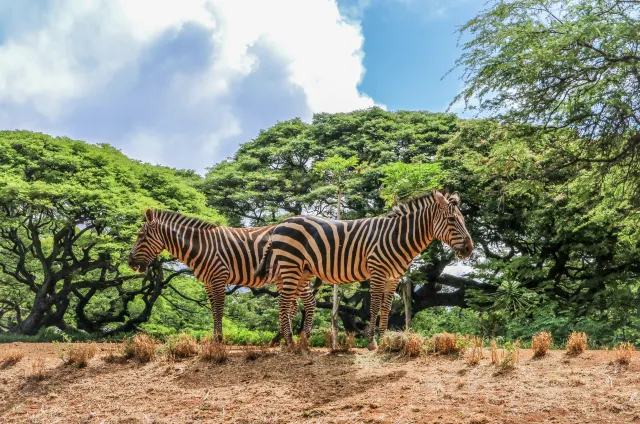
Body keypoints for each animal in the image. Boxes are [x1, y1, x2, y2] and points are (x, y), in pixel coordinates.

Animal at [127, 209, 316, 344]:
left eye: (141, 236)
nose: (130, 262)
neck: (202, 247)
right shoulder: (208, 282)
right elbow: (213, 310)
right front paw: (214, 338)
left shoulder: (219, 277)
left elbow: (219, 309)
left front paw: (218, 339)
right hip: (285, 274)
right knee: (292, 304)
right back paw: (279, 337)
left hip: (294, 270)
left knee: (309, 301)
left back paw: (304, 337)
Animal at [256, 190, 476, 350]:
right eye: (451, 220)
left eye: (463, 219)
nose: (469, 248)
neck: (397, 236)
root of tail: (280, 224)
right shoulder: (378, 271)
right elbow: (375, 305)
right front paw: (372, 342)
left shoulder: (394, 277)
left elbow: (386, 308)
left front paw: (386, 339)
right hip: (290, 265)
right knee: (284, 301)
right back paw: (289, 342)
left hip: (303, 270)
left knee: (292, 302)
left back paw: (296, 342)